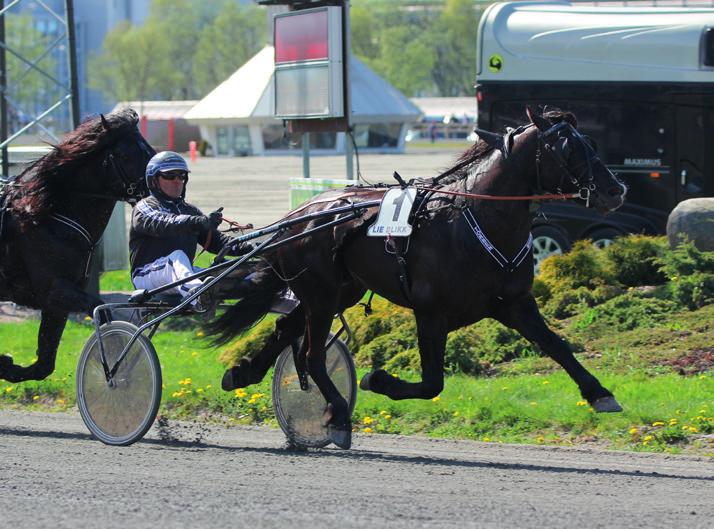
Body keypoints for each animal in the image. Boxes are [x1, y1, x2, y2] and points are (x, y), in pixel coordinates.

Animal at [0, 108, 154, 380]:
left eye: (148, 148)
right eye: (126, 155)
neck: (47, 215)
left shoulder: (57, 302)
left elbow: (44, 365)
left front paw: (6, 365)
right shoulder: (55, 290)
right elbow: (100, 308)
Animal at [210, 106, 624, 446]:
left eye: (590, 143)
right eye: (566, 148)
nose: (615, 190)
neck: (473, 223)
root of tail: (296, 216)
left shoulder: (514, 303)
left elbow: (557, 345)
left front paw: (600, 393)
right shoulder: (430, 312)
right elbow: (431, 383)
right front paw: (377, 380)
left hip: (336, 291)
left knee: (286, 331)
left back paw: (243, 374)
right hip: (321, 294)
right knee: (311, 355)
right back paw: (338, 414)